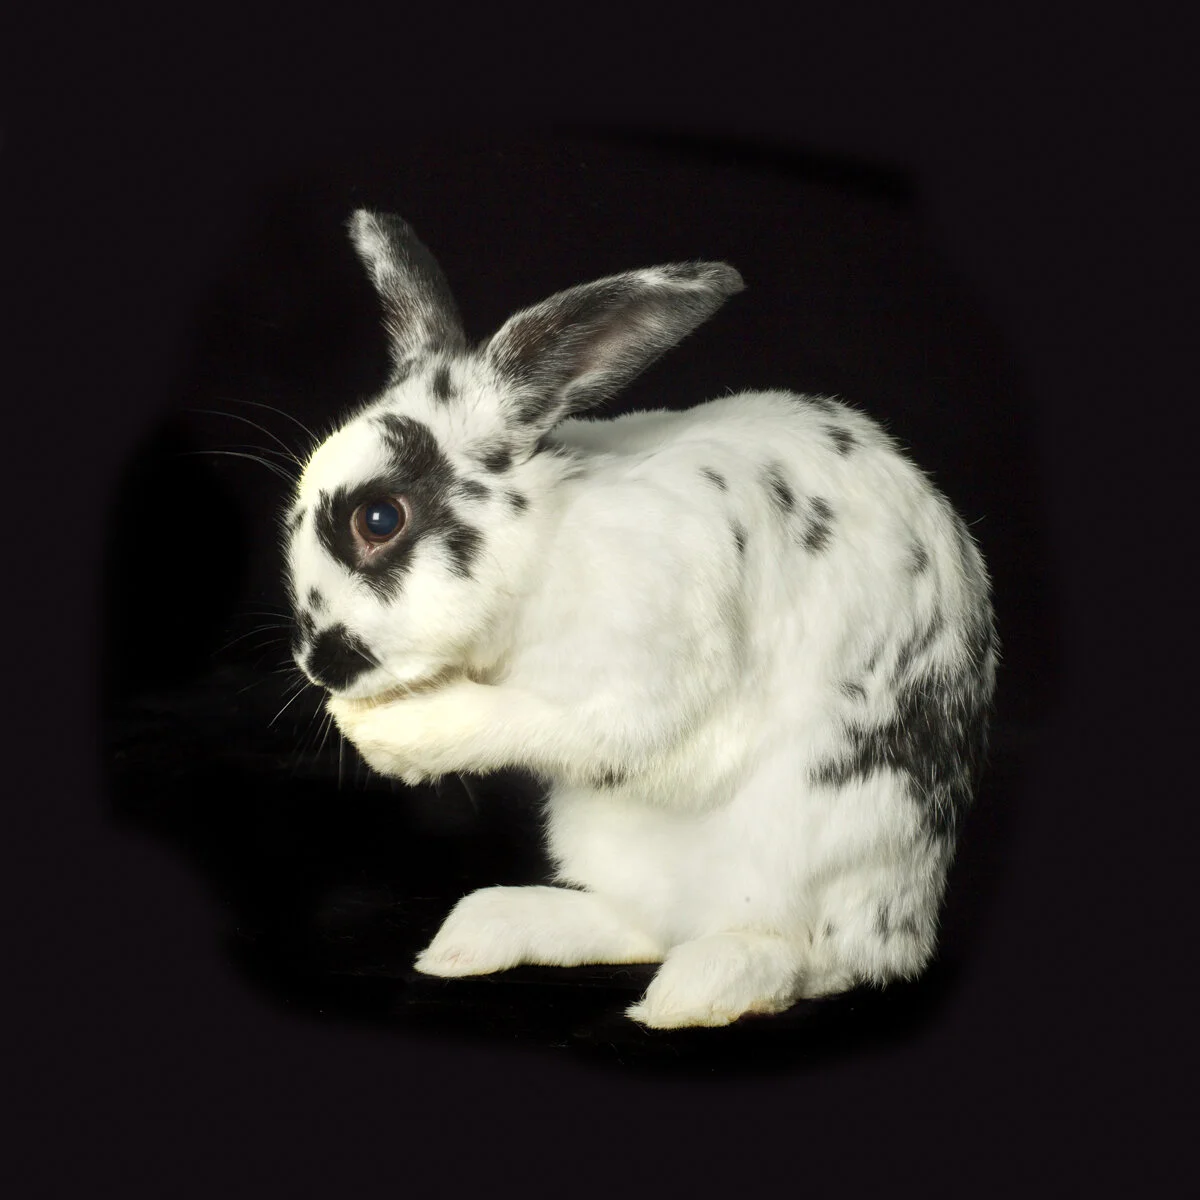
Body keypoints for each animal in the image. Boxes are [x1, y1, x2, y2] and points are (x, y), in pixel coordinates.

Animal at [282, 209, 998, 1029]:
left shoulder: (641, 685)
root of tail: (911, 918)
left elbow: (544, 720)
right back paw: (478, 936)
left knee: (814, 959)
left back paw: (693, 993)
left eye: (379, 518)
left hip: (826, 850)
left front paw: (394, 736)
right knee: (642, 924)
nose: (318, 663)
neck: (549, 540)